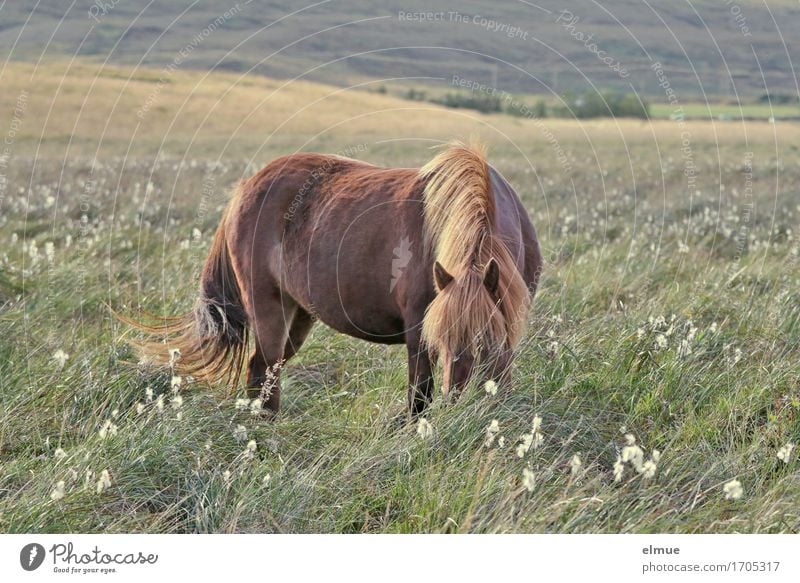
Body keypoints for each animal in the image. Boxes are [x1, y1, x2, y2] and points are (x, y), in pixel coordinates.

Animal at [130, 144, 544, 422]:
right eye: (442, 341)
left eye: (485, 340)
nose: (461, 411)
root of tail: (246, 188)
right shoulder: (419, 332)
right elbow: (419, 397)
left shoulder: (506, 326)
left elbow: (502, 377)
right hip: (268, 307)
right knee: (265, 367)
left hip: (298, 316)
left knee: (264, 367)